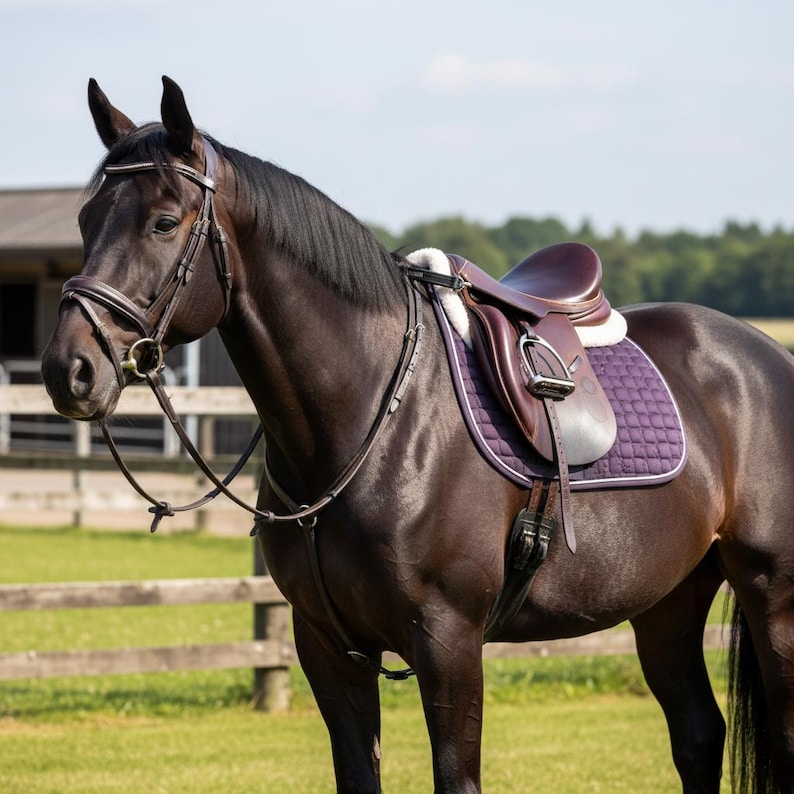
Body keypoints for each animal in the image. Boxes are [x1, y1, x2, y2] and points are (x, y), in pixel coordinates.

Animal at [40, 76, 794, 794]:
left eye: (165, 221)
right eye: (84, 218)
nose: (67, 368)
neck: (370, 419)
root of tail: (768, 357)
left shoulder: (448, 642)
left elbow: (456, 778)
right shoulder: (328, 648)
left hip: (772, 597)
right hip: (668, 603)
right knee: (698, 737)